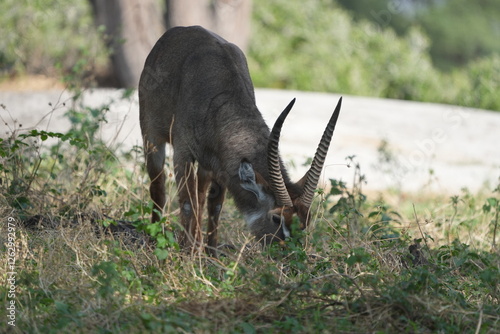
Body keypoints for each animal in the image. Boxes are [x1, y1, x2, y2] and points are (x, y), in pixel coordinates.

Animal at [141, 26, 344, 254]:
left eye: (305, 221)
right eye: (276, 218)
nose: (289, 254)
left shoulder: (218, 163)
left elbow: (215, 204)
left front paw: (210, 252)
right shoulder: (183, 153)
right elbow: (186, 202)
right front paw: (187, 252)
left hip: (205, 164)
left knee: (201, 195)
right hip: (151, 137)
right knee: (158, 185)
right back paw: (156, 235)